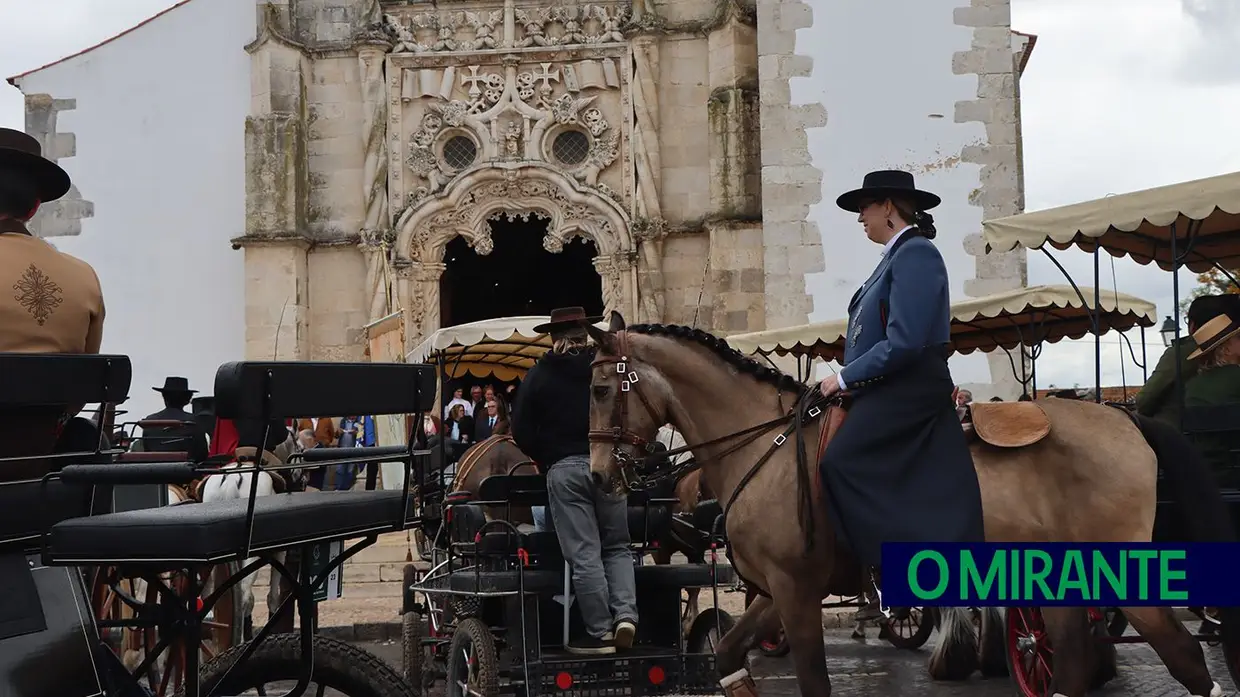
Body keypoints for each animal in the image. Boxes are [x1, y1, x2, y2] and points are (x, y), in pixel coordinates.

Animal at [582, 313, 1240, 694]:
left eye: (597, 387)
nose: (598, 477)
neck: (764, 442)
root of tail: (1127, 420)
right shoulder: (774, 592)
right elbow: (726, 656)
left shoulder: (796, 591)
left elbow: (813, 681)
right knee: (1076, 661)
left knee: (1184, 658)